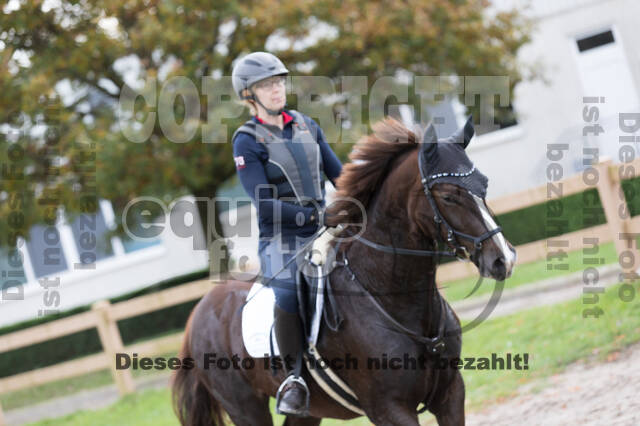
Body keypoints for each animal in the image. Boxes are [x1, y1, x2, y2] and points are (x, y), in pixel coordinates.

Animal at [170, 116, 516, 426]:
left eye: (484, 185)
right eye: (448, 195)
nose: (504, 259)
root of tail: (198, 312)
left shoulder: (450, 394)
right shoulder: (388, 409)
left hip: (308, 413)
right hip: (245, 408)